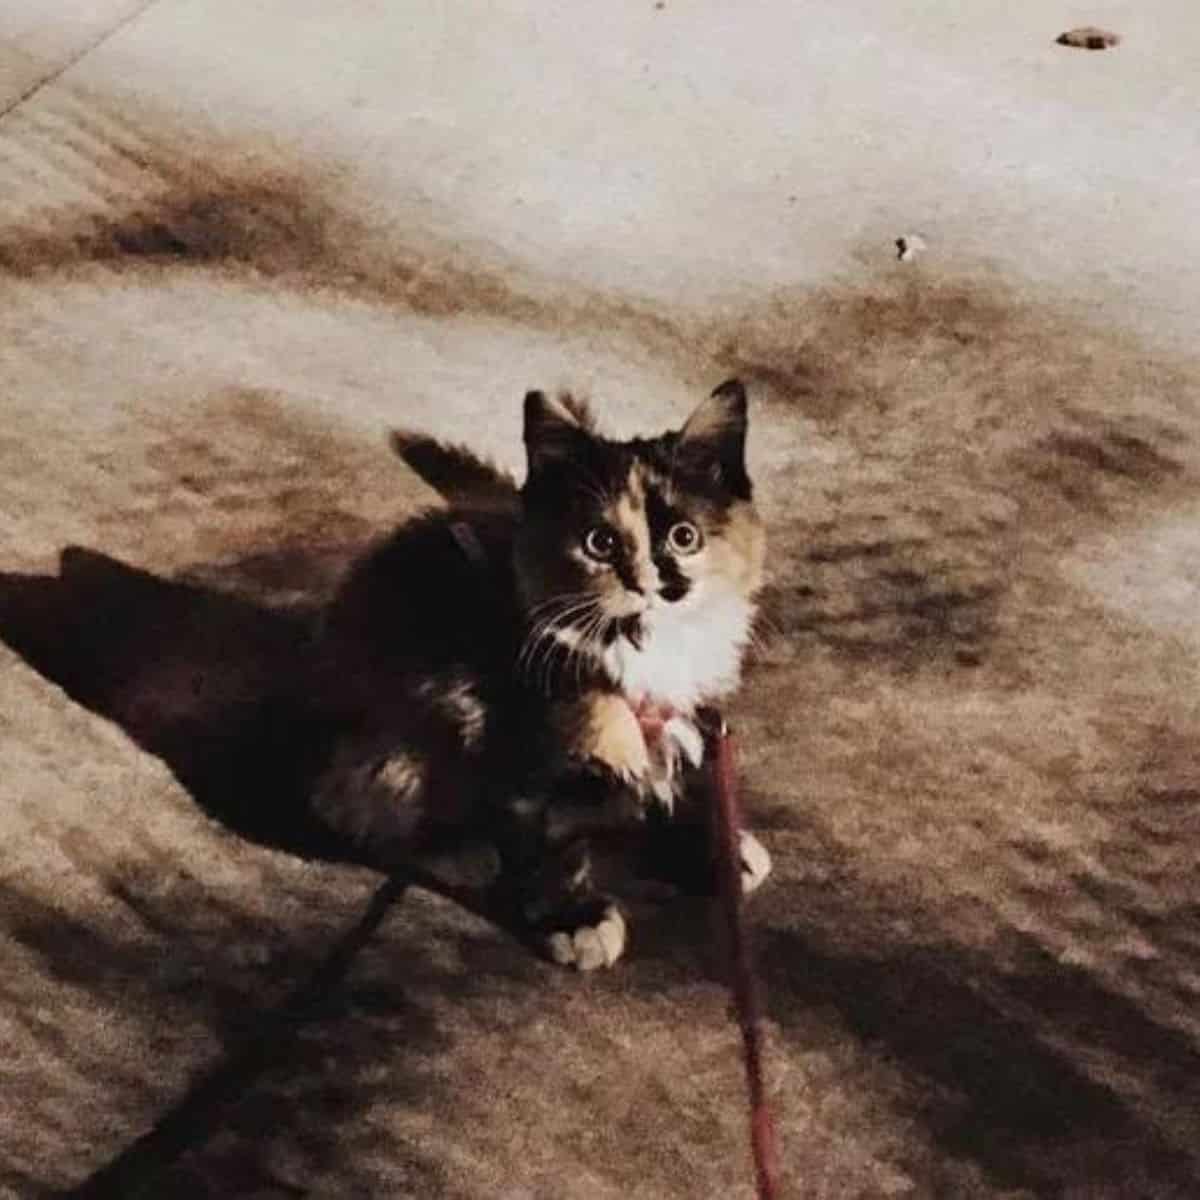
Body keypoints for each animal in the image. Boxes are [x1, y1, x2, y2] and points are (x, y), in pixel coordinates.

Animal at [314, 379, 772, 969]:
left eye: (684, 536)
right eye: (600, 542)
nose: (650, 585)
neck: (639, 647)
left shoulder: (685, 712)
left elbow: (681, 777)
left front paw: (713, 849)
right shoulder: (517, 734)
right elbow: (552, 835)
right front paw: (575, 918)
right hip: (386, 740)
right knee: (359, 803)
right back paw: (456, 848)